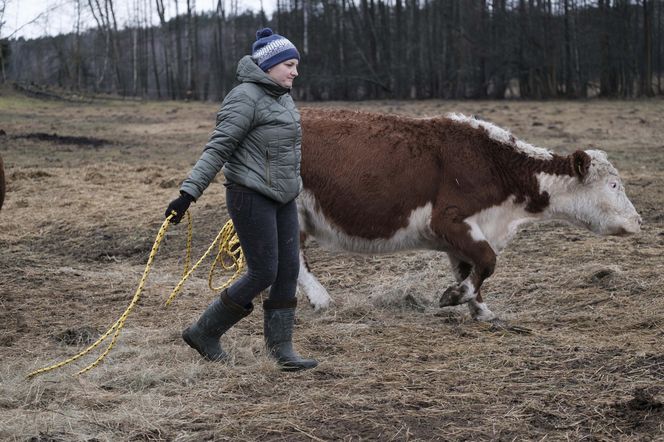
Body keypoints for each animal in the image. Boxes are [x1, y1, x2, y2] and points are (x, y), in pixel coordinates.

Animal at [298, 108, 640, 320]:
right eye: (613, 184)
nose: (638, 221)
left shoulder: (463, 236)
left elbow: (470, 270)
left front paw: (479, 309)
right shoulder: (450, 219)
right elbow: (487, 262)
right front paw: (452, 297)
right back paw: (322, 299)